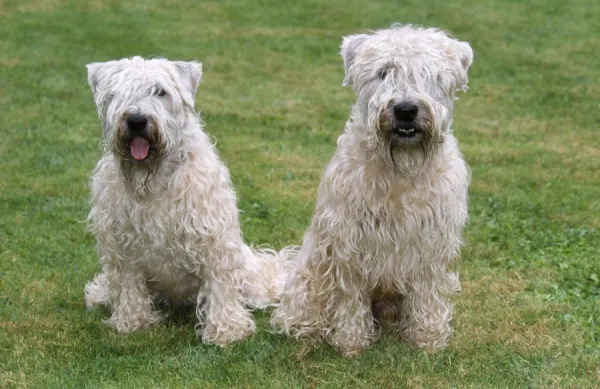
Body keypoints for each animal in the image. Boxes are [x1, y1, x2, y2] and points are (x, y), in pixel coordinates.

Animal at [82, 56, 288, 344]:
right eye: (116, 92)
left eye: (161, 92)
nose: (136, 120)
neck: (153, 180)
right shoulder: (120, 243)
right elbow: (127, 285)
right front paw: (132, 323)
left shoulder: (213, 238)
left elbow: (220, 285)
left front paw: (226, 331)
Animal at [272, 25, 474, 356]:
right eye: (383, 72)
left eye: (429, 72)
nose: (405, 110)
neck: (401, 170)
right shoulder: (348, 240)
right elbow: (349, 295)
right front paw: (351, 341)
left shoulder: (432, 241)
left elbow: (428, 292)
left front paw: (427, 338)